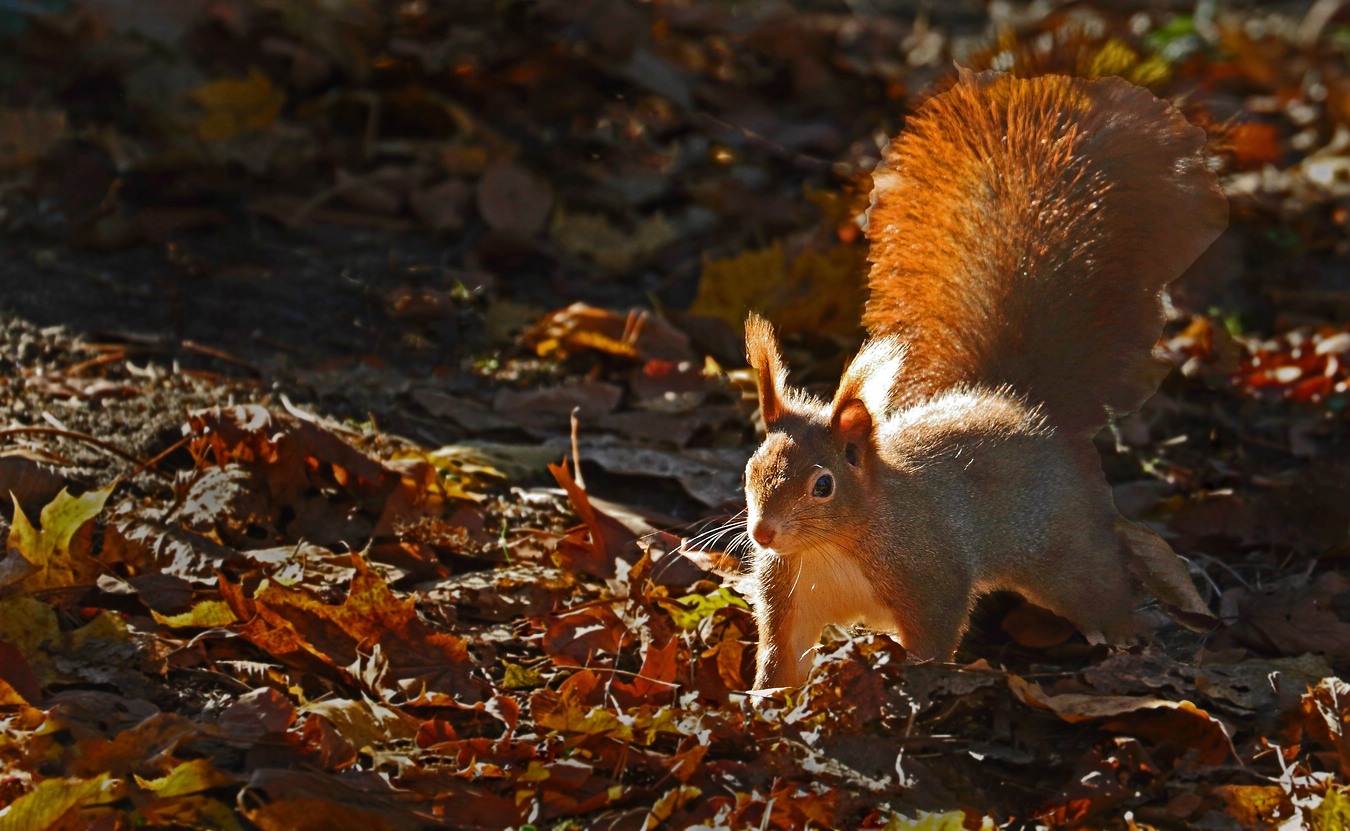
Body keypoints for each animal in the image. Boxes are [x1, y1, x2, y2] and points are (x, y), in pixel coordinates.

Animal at [745, 69, 1231, 688]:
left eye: (823, 484)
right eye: (751, 468)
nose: (763, 534)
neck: (830, 546)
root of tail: (1021, 405)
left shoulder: (928, 573)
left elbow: (933, 636)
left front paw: (913, 680)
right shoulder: (787, 595)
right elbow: (779, 658)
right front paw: (762, 700)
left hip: (1064, 547)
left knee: (1100, 583)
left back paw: (1125, 636)